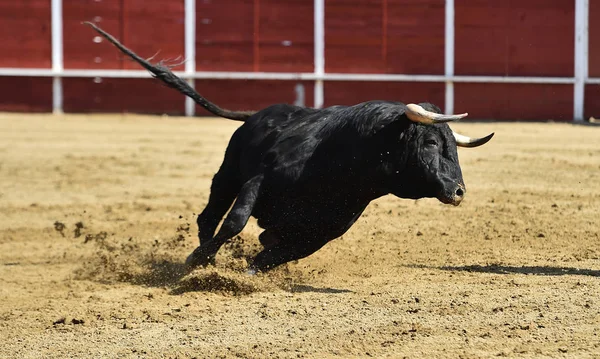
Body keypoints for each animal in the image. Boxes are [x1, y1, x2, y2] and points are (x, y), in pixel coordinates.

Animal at [88, 22, 492, 274]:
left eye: (453, 147)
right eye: (430, 142)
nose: (458, 191)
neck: (341, 164)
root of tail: (255, 114)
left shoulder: (325, 229)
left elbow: (276, 253)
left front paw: (245, 273)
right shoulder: (259, 182)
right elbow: (235, 222)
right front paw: (198, 263)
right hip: (227, 174)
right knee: (210, 216)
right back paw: (202, 257)